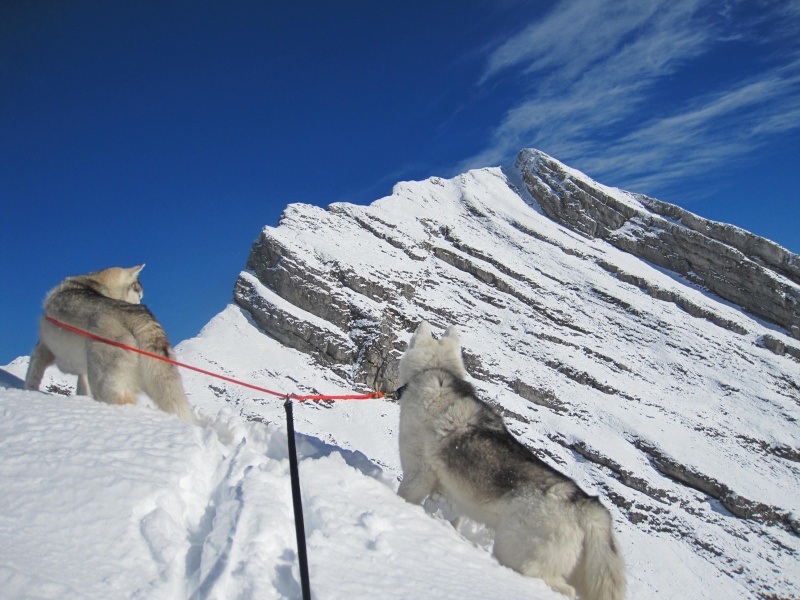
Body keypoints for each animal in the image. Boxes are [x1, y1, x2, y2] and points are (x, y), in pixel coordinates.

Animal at [24, 264, 193, 420]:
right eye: (139, 294)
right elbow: (82, 387)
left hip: (105, 383)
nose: (139, 303)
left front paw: (27, 391)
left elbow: (32, 374)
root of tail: (138, 314)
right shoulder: (82, 370)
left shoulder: (43, 348)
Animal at [396, 324, 628, 600]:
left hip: (517, 555)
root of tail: (586, 506)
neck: (436, 372)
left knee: (560, 588)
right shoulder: (453, 496)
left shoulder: (417, 473)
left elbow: (404, 496)